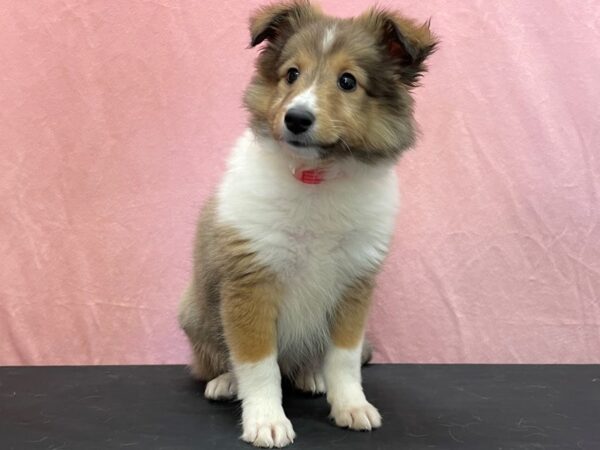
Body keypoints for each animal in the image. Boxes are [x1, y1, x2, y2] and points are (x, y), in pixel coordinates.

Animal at [178, 1, 436, 446]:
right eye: (291, 74)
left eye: (348, 81)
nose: (296, 119)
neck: (317, 176)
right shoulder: (251, 283)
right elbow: (258, 364)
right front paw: (266, 421)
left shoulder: (354, 283)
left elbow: (345, 360)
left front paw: (351, 406)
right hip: (197, 314)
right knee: (220, 361)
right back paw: (225, 382)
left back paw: (311, 376)